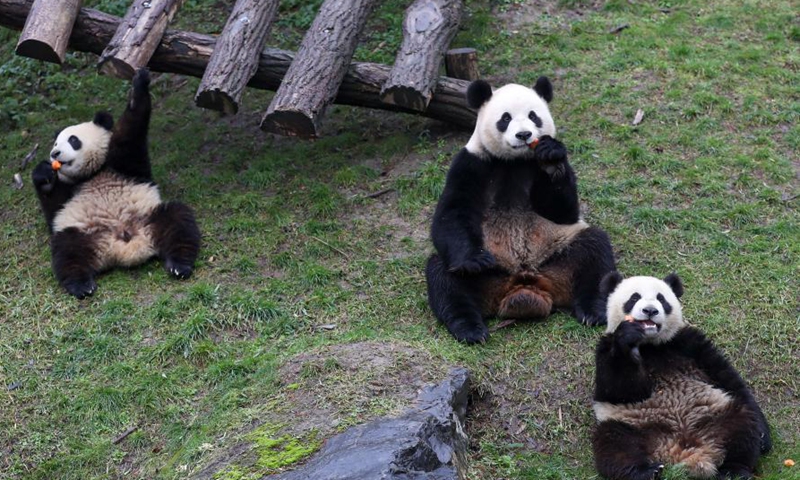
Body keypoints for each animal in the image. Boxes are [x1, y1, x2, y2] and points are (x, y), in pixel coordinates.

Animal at [33, 69, 203, 298]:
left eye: (73, 140)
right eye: (55, 143)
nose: (55, 154)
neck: (92, 174)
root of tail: (123, 248)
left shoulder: (122, 164)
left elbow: (130, 130)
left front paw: (139, 84)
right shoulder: (70, 193)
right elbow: (54, 208)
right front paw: (44, 174)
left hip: (149, 216)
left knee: (178, 219)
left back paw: (179, 265)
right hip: (85, 233)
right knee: (67, 250)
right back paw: (81, 285)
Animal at [424, 77, 620, 344]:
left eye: (533, 116)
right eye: (505, 118)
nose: (524, 134)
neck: (514, 161)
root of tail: (525, 286)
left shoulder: (536, 167)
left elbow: (562, 212)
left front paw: (551, 158)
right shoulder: (472, 163)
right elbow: (452, 213)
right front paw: (475, 259)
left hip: (558, 251)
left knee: (595, 253)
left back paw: (593, 311)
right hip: (488, 272)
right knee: (445, 278)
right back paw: (470, 328)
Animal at [592, 272, 768, 478]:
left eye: (661, 299)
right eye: (634, 298)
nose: (650, 310)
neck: (650, 344)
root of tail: (685, 450)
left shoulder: (688, 343)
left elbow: (727, 377)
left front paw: (764, 436)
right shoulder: (606, 347)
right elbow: (618, 389)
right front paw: (629, 340)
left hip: (716, 413)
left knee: (742, 427)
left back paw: (734, 471)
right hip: (634, 425)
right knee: (615, 445)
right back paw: (647, 472)